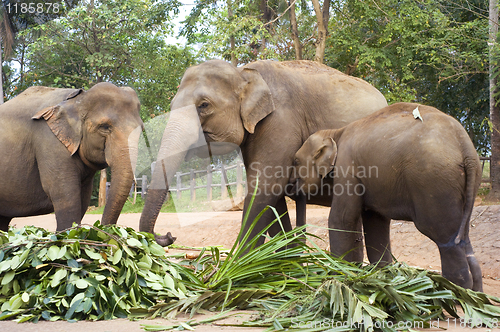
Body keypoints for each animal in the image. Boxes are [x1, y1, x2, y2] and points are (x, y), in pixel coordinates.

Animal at [0, 82, 144, 231]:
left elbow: (83, 199)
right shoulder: (50, 141)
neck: (77, 99)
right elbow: (65, 196)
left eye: (141, 129)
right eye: (104, 127)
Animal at [140, 59, 386, 246]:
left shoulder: (281, 121)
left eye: (204, 105)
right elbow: (272, 198)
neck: (243, 73)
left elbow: (264, 189)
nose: (169, 235)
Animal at [292, 102, 482, 290]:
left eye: (295, 161)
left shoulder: (347, 168)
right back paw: (476, 294)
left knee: (444, 238)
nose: (293, 185)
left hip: (435, 183)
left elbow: (342, 219)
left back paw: (456, 292)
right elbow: (375, 222)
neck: (335, 133)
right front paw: (381, 275)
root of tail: (464, 145)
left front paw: (337, 276)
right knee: (464, 240)